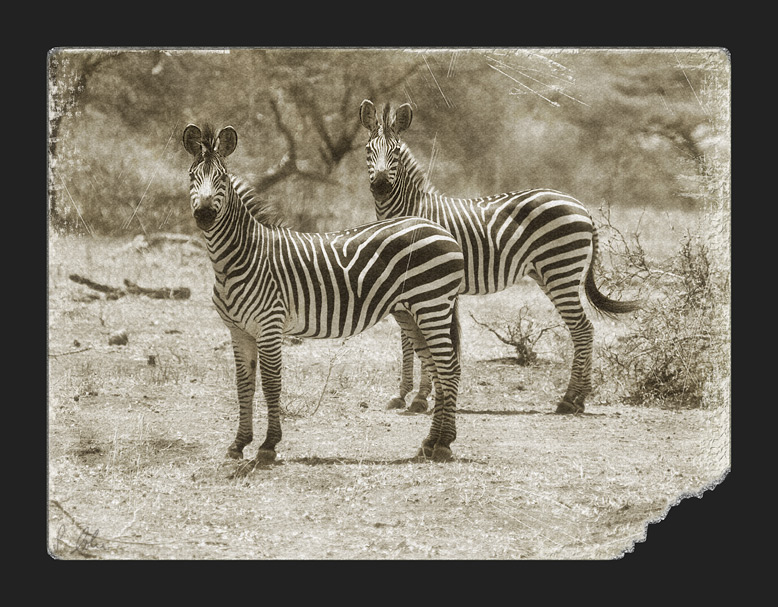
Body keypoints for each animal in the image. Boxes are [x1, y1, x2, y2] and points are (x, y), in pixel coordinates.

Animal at [182, 123, 460, 466]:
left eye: (221, 178)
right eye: (192, 176)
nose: (205, 215)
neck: (240, 257)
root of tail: (441, 230)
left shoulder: (269, 325)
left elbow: (271, 384)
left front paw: (268, 445)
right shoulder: (238, 330)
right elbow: (243, 385)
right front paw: (238, 444)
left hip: (432, 304)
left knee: (448, 369)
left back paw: (445, 444)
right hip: (412, 312)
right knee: (437, 368)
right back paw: (430, 443)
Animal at [358, 102, 636, 416]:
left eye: (395, 151)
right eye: (368, 150)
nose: (381, 186)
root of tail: (580, 205)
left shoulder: (422, 285)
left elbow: (418, 340)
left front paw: (419, 397)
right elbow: (410, 341)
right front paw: (405, 394)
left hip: (560, 269)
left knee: (582, 329)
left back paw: (570, 399)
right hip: (548, 272)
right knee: (582, 328)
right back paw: (578, 398)